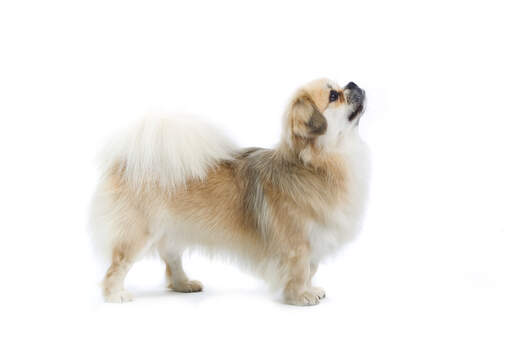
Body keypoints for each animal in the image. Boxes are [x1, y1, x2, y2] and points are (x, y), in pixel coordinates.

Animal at [88, 78, 368, 304]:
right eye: (333, 95)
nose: (353, 83)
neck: (314, 165)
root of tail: (129, 161)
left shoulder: (314, 240)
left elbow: (311, 269)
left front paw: (311, 290)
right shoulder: (297, 243)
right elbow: (300, 271)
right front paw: (300, 297)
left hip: (172, 229)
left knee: (172, 259)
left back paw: (183, 284)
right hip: (138, 234)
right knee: (117, 266)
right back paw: (115, 295)